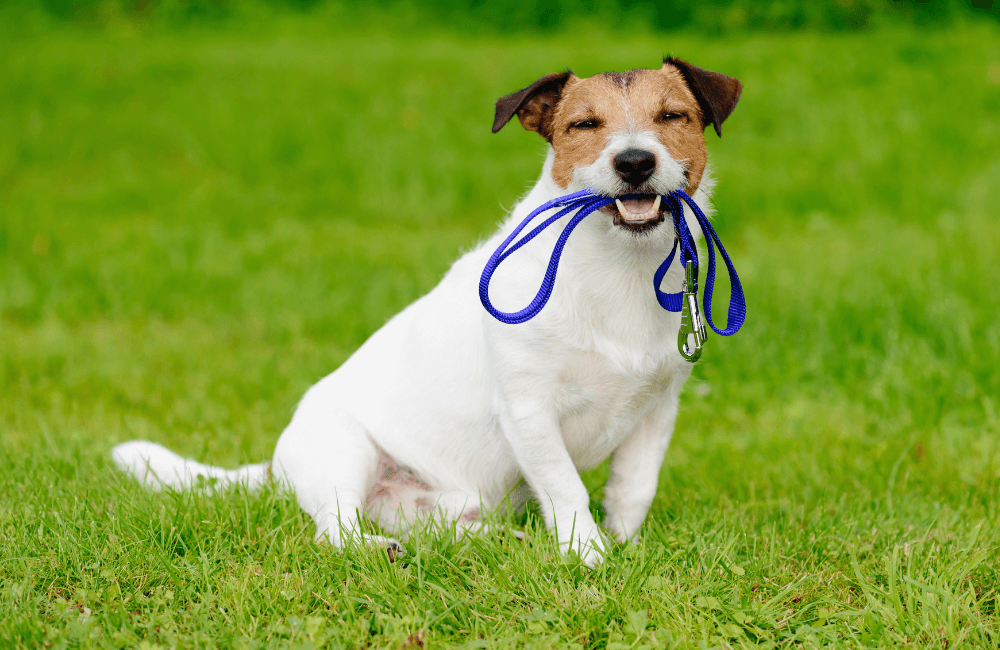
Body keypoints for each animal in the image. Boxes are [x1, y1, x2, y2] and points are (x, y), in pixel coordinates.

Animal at [115, 58, 744, 564]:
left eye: (672, 116)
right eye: (584, 125)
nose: (635, 162)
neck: (617, 269)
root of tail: (276, 467)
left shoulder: (657, 410)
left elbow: (634, 490)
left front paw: (624, 548)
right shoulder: (529, 409)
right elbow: (566, 488)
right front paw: (588, 557)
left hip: (432, 501)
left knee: (439, 526)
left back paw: (498, 540)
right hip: (344, 453)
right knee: (334, 529)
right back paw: (379, 549)